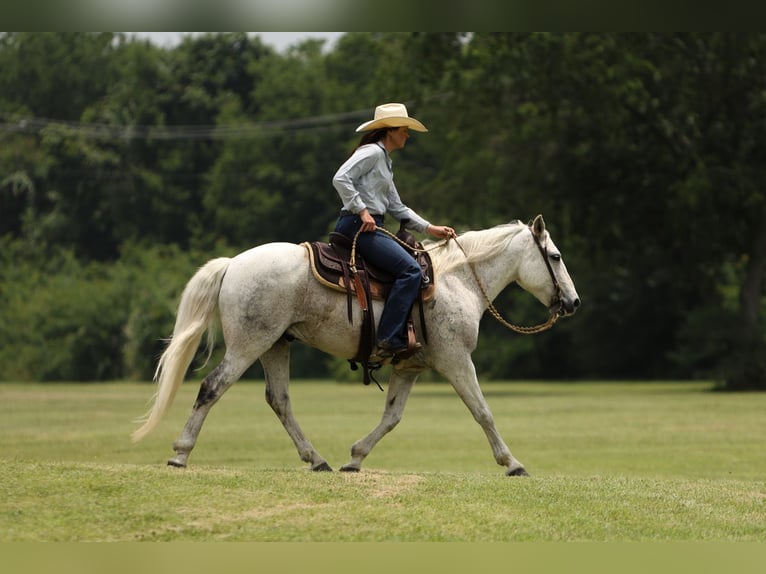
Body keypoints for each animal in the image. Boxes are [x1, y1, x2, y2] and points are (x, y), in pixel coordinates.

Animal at [132, 215, 579, 476]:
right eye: (556, 256)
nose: (573, 302)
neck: (458, 280)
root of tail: (233, 264)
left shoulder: (409, 368)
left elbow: (392, 417)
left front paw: (355, 457)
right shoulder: (456, 361)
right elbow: (483, 412)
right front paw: (512, 463)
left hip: (276, 345)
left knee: (279, 400)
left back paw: (317, 459)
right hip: (249, 344)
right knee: (213, 388)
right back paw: (180, 453)